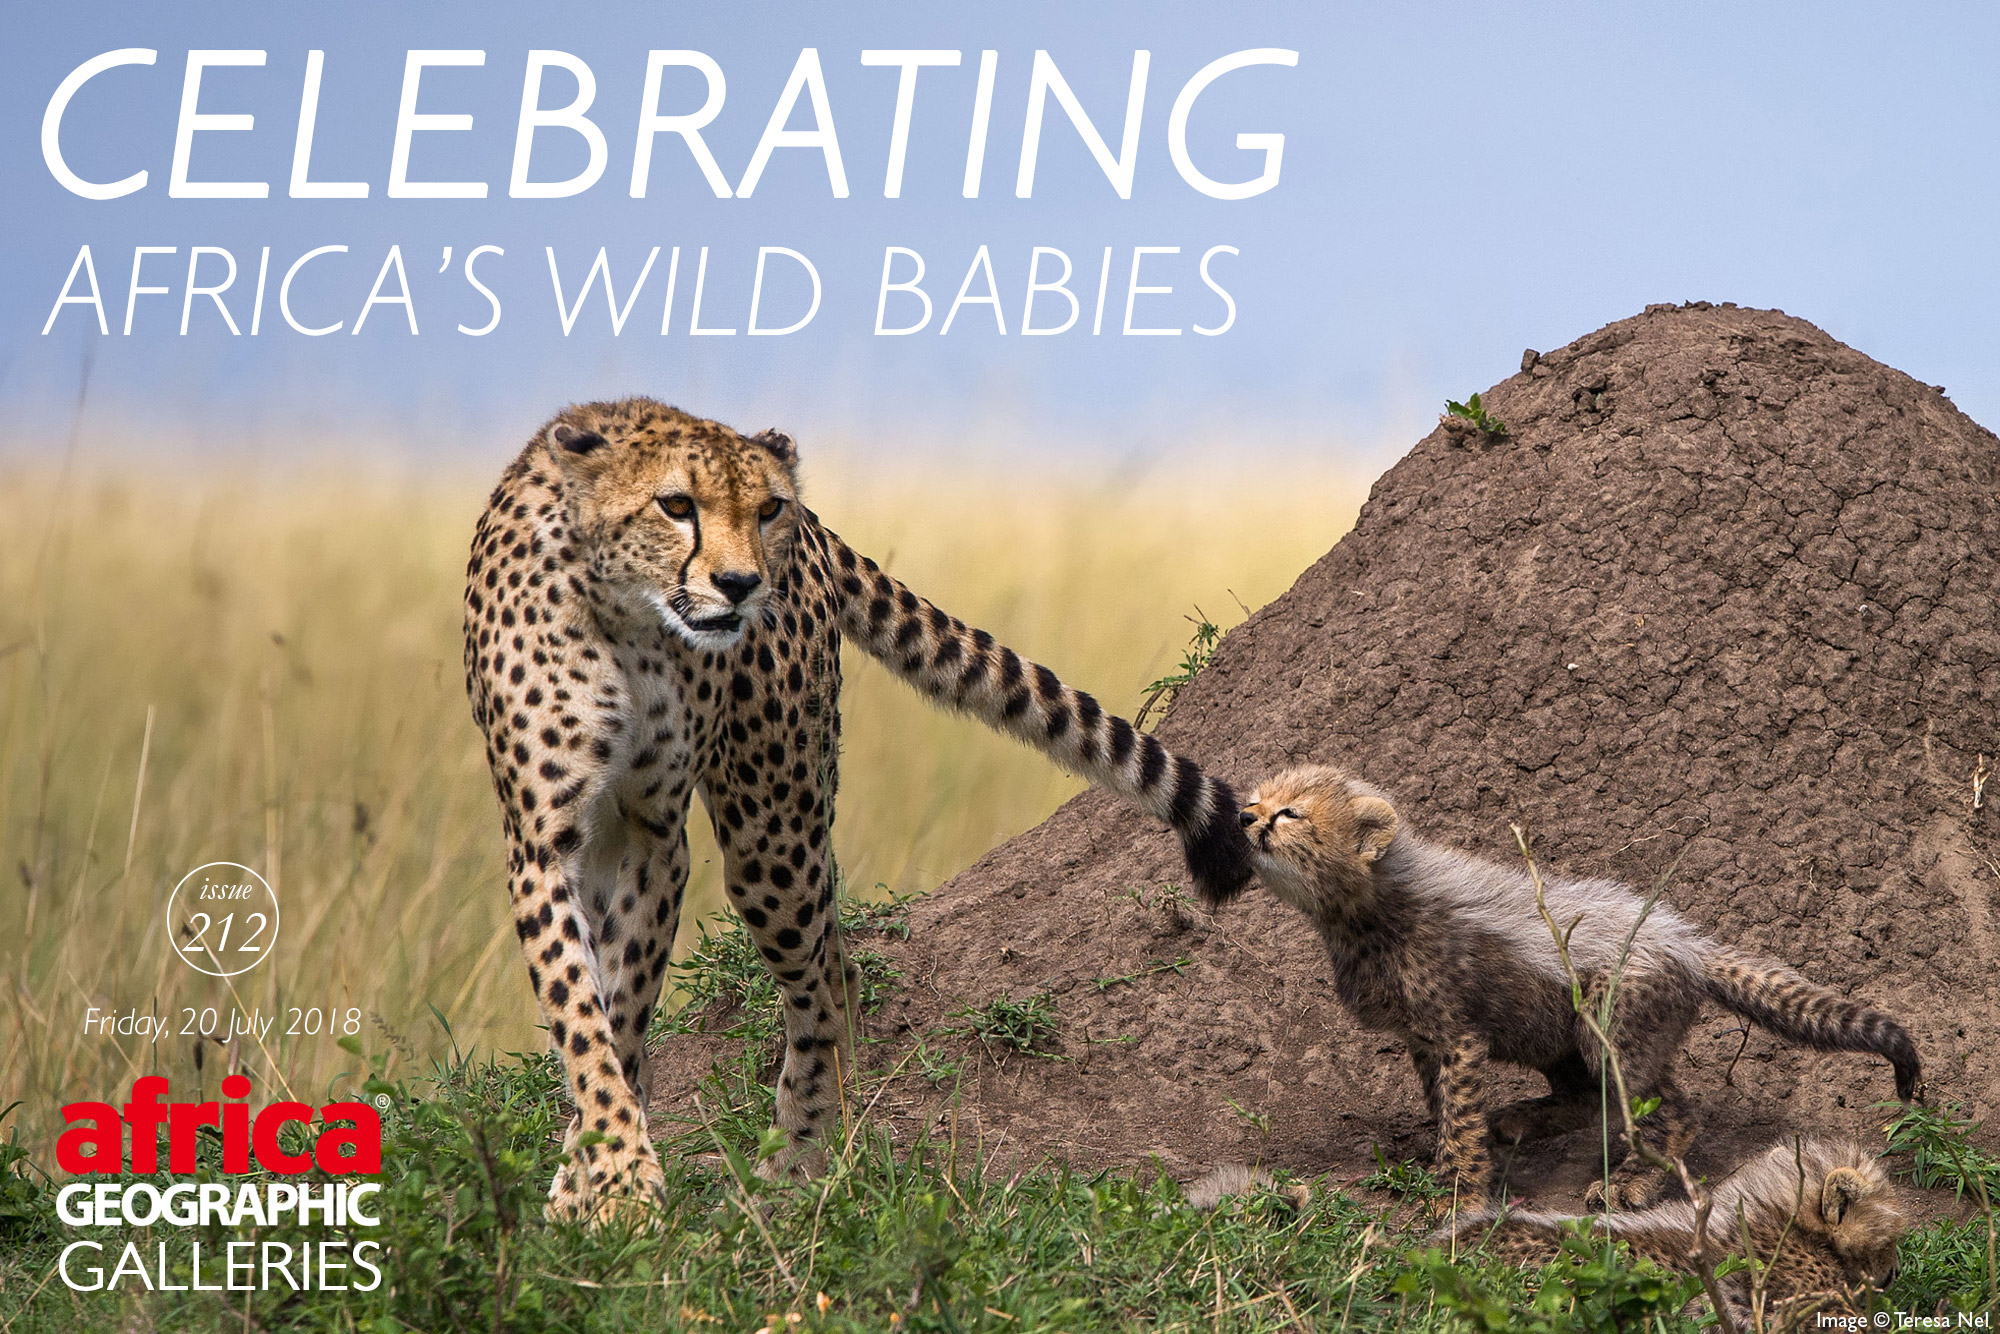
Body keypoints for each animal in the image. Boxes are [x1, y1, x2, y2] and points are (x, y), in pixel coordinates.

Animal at [466, 396, 1248, 1224]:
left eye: (765, 508)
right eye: (675, 505)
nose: (740, 584)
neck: (627, 616)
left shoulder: (655, 837)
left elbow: (621, 1008)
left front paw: (612, 1180)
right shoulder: (545, 840)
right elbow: (583, 1013)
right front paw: (605, 1176)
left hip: (773, 830)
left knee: (827, 977)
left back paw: (799, 1158)